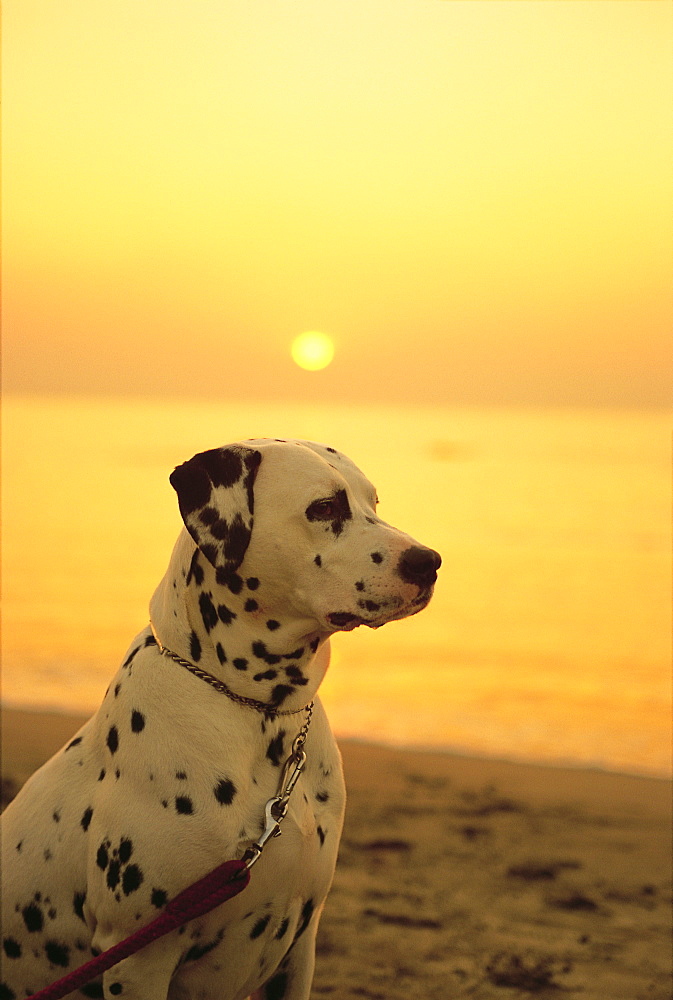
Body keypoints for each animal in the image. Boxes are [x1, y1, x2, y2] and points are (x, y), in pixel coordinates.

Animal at [1, 438, 440, 1000]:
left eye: (374, 503)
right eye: (324, 508)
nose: (429, 562)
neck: (259, 713)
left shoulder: (300, 947)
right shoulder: (137, 958)